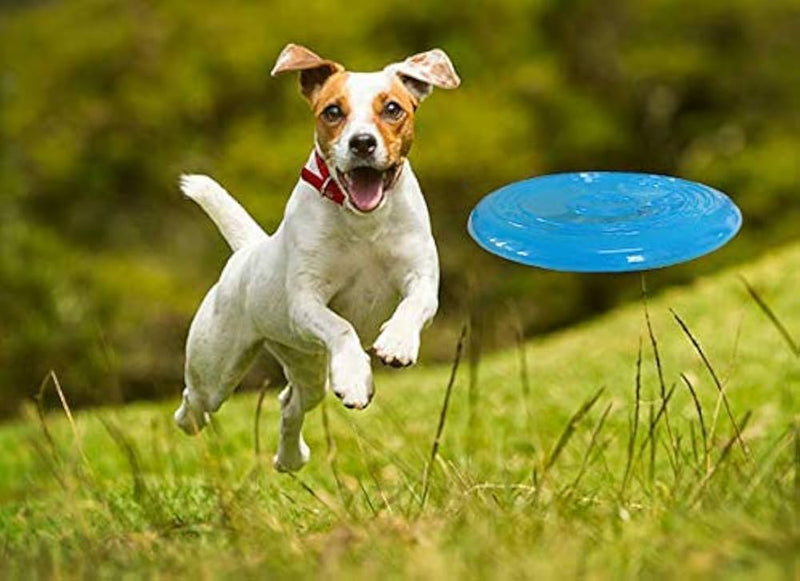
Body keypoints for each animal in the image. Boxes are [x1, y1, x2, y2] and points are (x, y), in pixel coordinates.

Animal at [175, 43, 462, 468]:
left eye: (393, 108)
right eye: (332, 111)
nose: (362, 142)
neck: (363, 221)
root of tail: (247, 251)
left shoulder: (422, 278)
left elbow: (413, 305)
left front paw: (396, 343)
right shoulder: (306, 302)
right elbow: (341, 327)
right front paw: (355, 376)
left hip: (305, 362)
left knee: (290, 402)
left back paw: (290, 458)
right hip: (217, 366)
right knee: (195, 401)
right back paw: (192, 421)